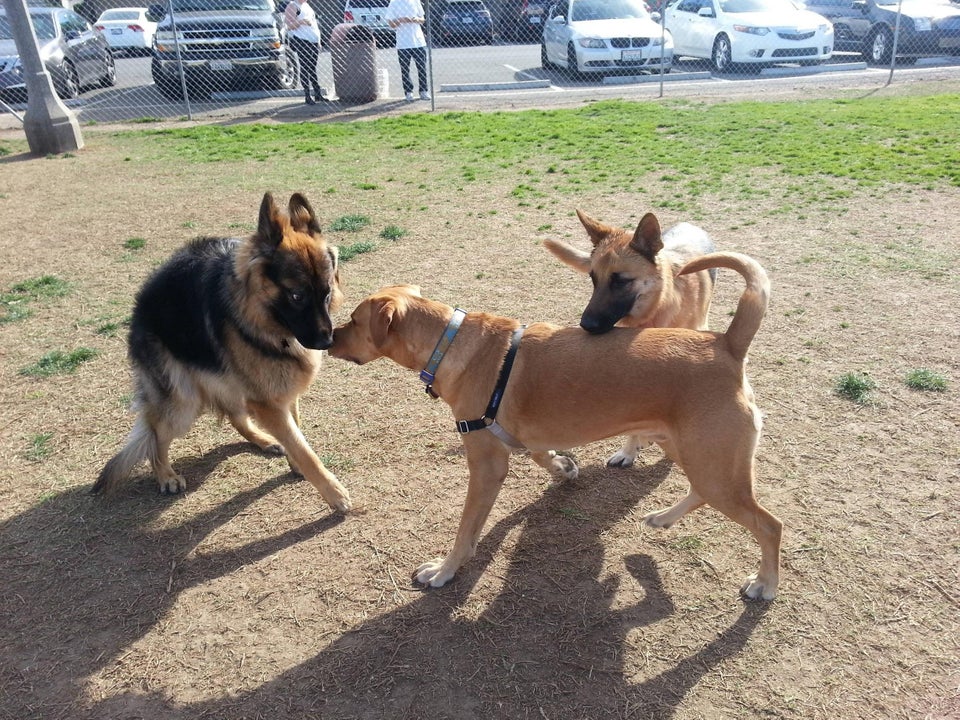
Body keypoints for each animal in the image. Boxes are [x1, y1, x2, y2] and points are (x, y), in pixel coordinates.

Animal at [330, 250, 780, 600]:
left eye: (353, 319)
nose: (328, 338)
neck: (451, 342)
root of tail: (726, 345)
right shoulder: (522, 439)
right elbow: (543, 456)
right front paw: (564, 469)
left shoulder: (486, 466)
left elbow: (466, 530)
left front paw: (444, 570)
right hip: (689, 450)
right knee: (699, 492)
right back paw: (663, 519)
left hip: (714, 465)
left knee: (768, 525)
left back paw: (764, 584)